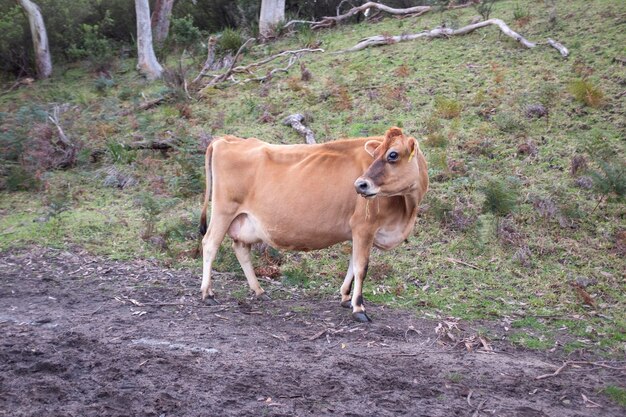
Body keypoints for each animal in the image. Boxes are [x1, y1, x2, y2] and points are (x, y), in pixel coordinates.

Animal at [197, 127, 426, 322]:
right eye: (375, 153)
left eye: (393, 155)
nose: (360, 184)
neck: (406, 210)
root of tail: (227, 139)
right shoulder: (364, 227)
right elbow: (361, 267)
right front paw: (359, 308)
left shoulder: (356, 232)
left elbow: (352, 264)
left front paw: (345, 298)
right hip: (223, 210)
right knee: (210, 244)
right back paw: (207, 293)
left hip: (244, 221)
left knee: (241, 249)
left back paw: (259, 291)